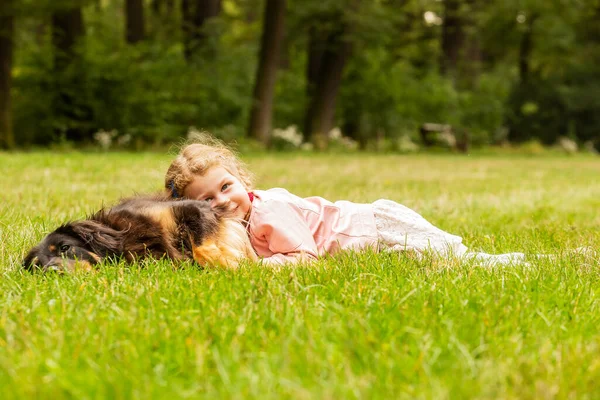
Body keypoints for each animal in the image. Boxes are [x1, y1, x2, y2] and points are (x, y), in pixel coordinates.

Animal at [22, 193, 256, 272]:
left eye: (65, 247)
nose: (52, 272)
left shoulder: (195, 208)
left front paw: (237, 266)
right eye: (38, 268)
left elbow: (203, 250)